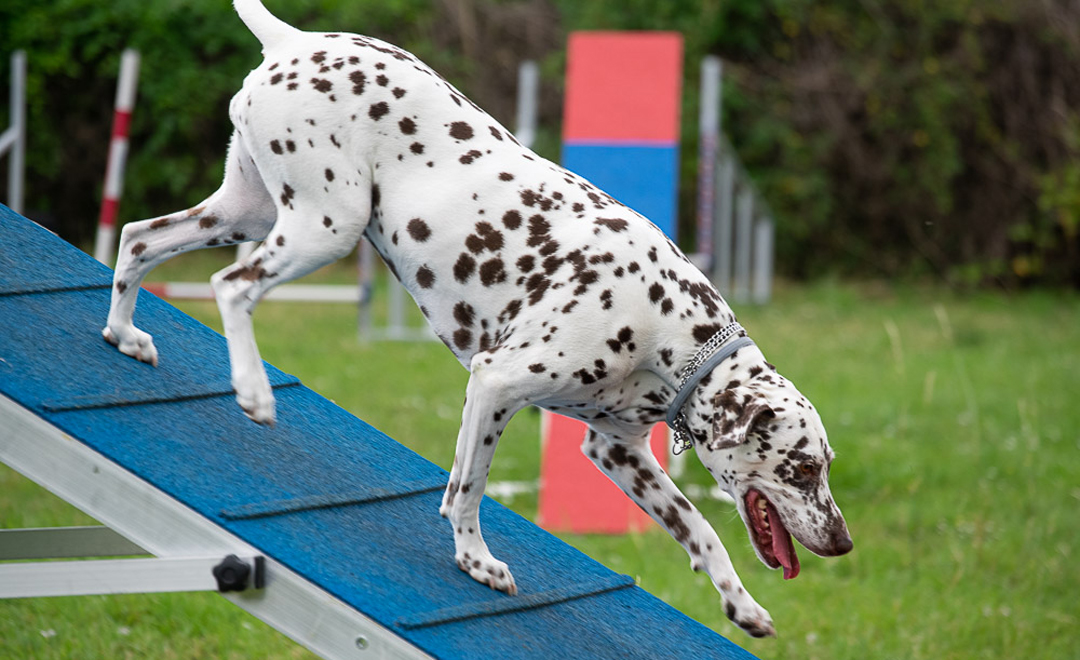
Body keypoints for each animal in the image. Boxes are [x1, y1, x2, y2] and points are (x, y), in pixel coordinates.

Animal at [101, 0, 851, 639]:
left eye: (823, 466)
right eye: (801, 469)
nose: (843, 543)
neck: (664, 322)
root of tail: (293, 40)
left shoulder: (617, 451)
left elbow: (702, 531)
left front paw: (741, 604)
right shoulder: (496, 385)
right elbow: (469, 490)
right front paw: (475, 560)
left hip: (245, 214)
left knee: (137, 237)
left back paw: (126, 335)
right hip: (323, 227)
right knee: (231, 289)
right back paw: (253, 392)